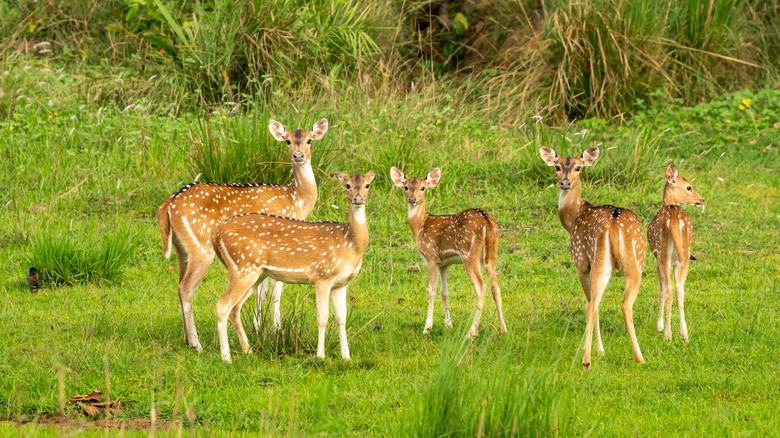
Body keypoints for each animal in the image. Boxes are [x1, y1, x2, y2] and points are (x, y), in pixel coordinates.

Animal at [157, 118, 328, 350]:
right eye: (288, 141)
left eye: (309, 140)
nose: (298, 155)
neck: (295, 200)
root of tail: (168, 205)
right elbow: (276, 289)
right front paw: (275, 328)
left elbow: (262, 290)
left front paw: (258, 327)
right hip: (201, 247)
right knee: (185, 288)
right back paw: (196, 344)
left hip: (180, 248)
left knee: (178, 286)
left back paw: (186, 339)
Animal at [210, 169, 374, 362]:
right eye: (347, 185)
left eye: (367, 185)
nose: (358, 198)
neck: (349, 243)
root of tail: (216, 232)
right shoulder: (322, 276)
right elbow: (323, 317)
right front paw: (320, 355)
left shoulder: (341, 283)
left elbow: (341, 318)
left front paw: (346, 357)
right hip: (242, 267)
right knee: (222, 306)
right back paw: (226, 357)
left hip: (255, 273)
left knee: (235, 308)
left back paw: (248, 351)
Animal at [390, 167, 512, 336]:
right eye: (406, 187)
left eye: (423, 188)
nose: (412, 199)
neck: (421, 226)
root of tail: (487, 221)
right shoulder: (444, 263)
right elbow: (444, 292)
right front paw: (448, 324)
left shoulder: (431, 257)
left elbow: (431, 291)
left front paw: (427, 328)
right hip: (491, 254)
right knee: (495, 286)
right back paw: (503, 328)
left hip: (469, 254)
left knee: (482, 286)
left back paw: (472, 332)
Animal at [540, 147, 648, 370]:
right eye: (557, 166)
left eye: (578, 167)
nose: (565, 183)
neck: (573, 218)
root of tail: (615, 225)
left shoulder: (581, 262)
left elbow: (588, 304)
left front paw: (599, 349)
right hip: (635, 264)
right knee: (623, 304)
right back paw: (639, 357)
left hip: (598, 261)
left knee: (592, 305)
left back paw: (586, 360)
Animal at [644, 163, 708, 342]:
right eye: (689, 187)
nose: (702, 200)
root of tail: (673, 219)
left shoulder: (657, 258)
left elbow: (661, 290)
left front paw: (659, 327)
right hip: (683, 254)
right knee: (680, 288)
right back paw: (684, 334)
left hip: (663, 254)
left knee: (669, 289)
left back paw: (667, 334)